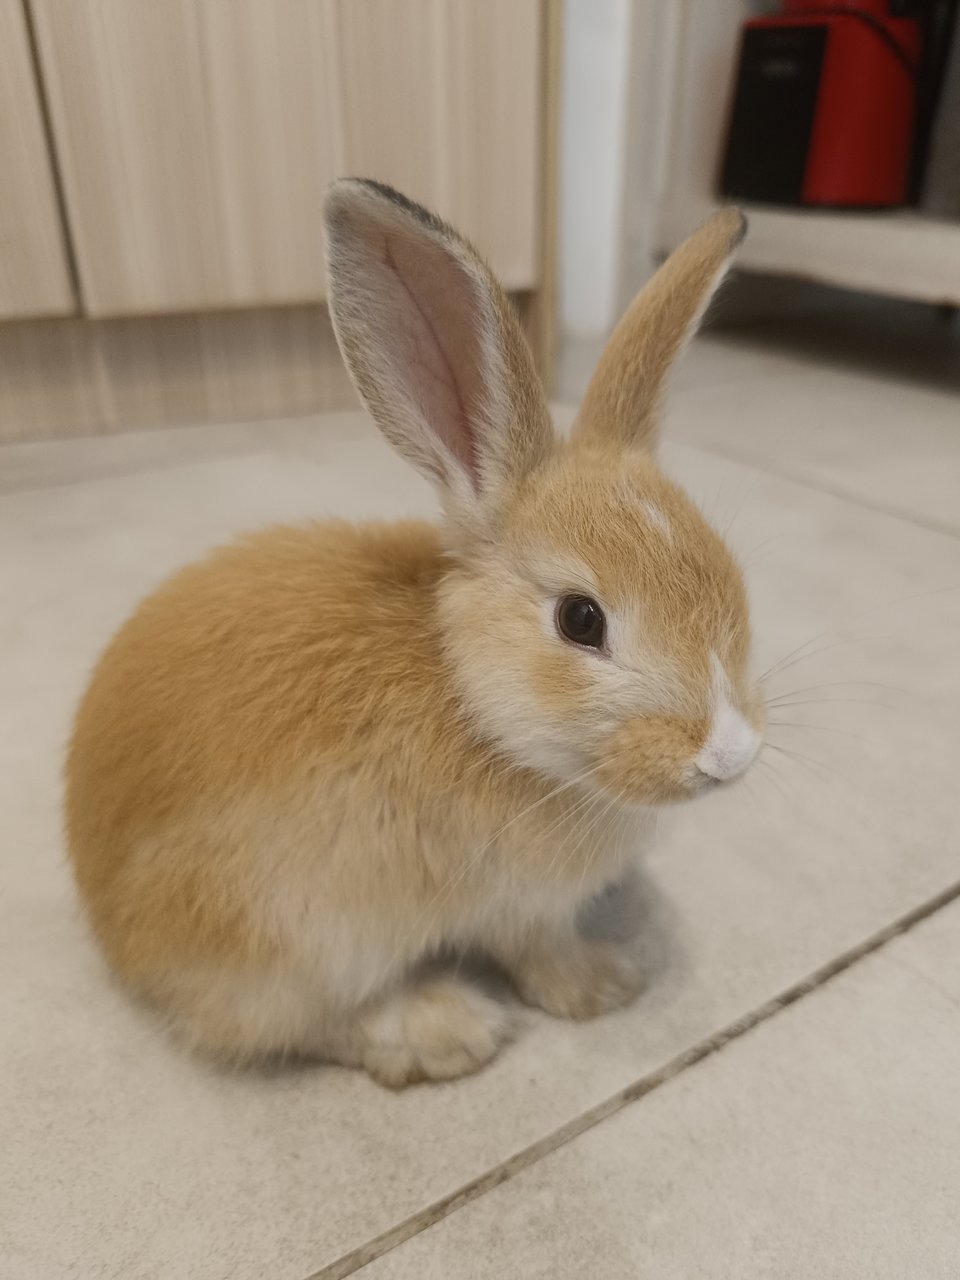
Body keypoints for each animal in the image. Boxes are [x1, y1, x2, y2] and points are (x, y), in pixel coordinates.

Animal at [65, 179, 764, 1088]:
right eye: (581, 620)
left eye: (726, 569)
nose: (731, 754)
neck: (473, 703)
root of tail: (110, 927)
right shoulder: (513, 905)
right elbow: (537, 950)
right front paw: (603, 987)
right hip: (298, 941)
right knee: (288, 1025)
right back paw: (446, 1030)